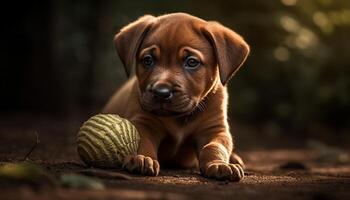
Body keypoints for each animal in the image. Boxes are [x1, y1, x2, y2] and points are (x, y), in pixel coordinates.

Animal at [102, 12, 250, 181]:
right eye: (148, 60)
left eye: (191, 62)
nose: (161, 93)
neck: (180, 118)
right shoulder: (143, 121)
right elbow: (141, 140)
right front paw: (142, 158)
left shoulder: (215, 129)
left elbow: (215, 146)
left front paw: (219, 164)